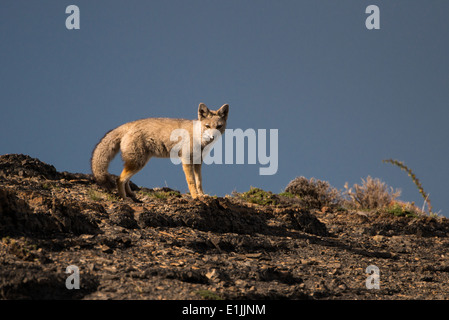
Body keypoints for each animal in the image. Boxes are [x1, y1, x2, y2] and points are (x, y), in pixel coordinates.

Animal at [90, 102, 228, 200]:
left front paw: (202, 195)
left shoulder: (198, 163)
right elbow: (191, 182)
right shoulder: (186, 160)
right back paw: (124, 198)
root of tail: (129, 124)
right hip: (137, 163)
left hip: (137, 163)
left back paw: (130, 194)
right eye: (207, 126)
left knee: (125, 179)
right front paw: (195, 197)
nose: (213, 137)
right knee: (120, 179)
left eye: (219, 126)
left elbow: (199, 182)